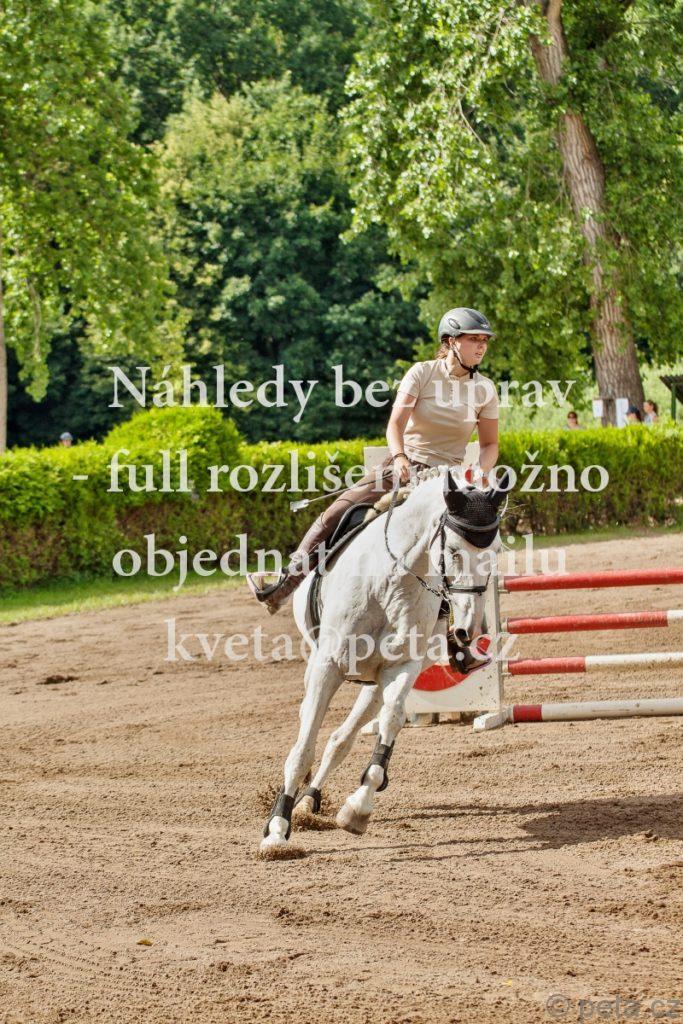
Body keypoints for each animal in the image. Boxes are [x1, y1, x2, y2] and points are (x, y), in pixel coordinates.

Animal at [260, 466, 509, 856]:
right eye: (453, 551)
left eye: (495, 551)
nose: (469, 629)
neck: (389, 583)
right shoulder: (327, 667)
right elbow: (301, 750)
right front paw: (275, 831)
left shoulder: (400, 668)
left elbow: (391, 723)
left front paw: (359, 805)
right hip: (322, 668)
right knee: (312, 727)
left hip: (375, 683)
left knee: (341, 739)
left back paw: (310, 801)